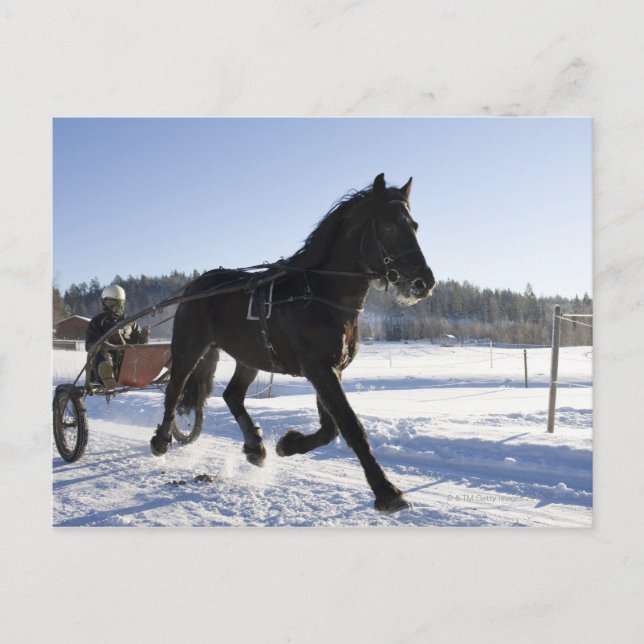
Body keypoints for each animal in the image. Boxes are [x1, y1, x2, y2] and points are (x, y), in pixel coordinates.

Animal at [151, 173, 435, 513]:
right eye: (390, 226)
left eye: (415, 226)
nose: (423, 282)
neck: (322, 294)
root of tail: (197, 285)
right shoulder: (319, 368)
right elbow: (350, 426)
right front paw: (386, 491)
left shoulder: (331, 369)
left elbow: (330, 428)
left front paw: (289, 444)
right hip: (189, 347)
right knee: (174, 389)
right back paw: (161, 440)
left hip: (249, 356)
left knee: (233, 395)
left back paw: (255, 447)